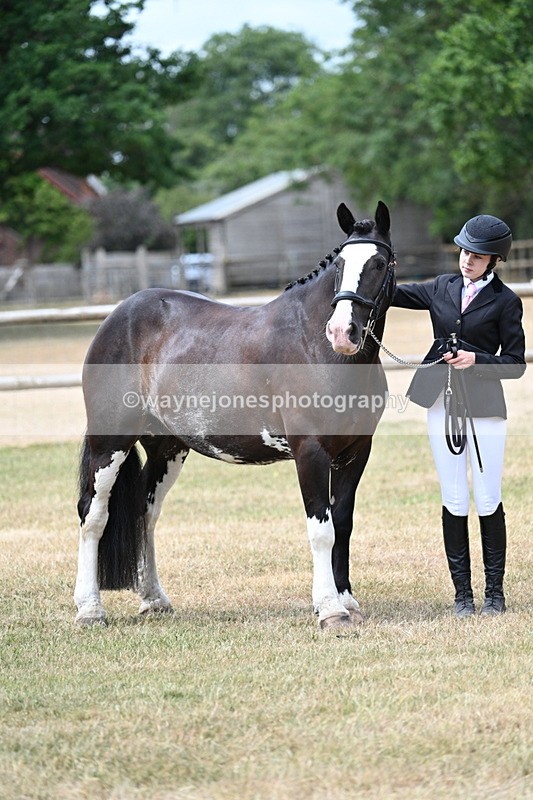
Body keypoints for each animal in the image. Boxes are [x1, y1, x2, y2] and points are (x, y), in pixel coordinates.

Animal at [75, 201, 396, 632]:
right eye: (341, 265)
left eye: (379, 263)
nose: (342, 332)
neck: (317, 348)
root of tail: (117, 316)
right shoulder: (310, 452)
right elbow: (321, 530)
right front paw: (330, 610)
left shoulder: (356, 452)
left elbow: (342, 524)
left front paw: (347, 600)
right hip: (109, 443)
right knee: (93, 514)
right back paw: (89, 609)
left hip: (167, 450)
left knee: (146, 513)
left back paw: (154, 599)